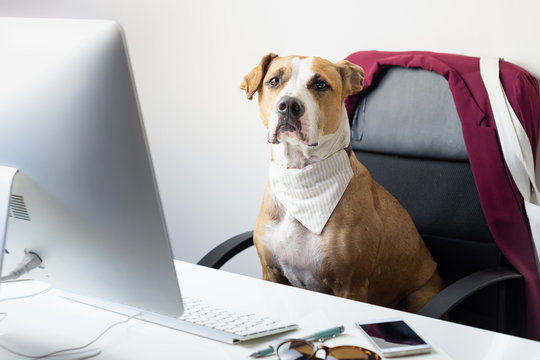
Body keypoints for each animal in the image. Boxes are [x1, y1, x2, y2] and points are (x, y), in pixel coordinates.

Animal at [240, 53, 442, 312]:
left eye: (320, 84)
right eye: (274, 80)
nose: (289, 106)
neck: (301, 176)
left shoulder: (350, 285)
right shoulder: (271, 273)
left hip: (422, 293)